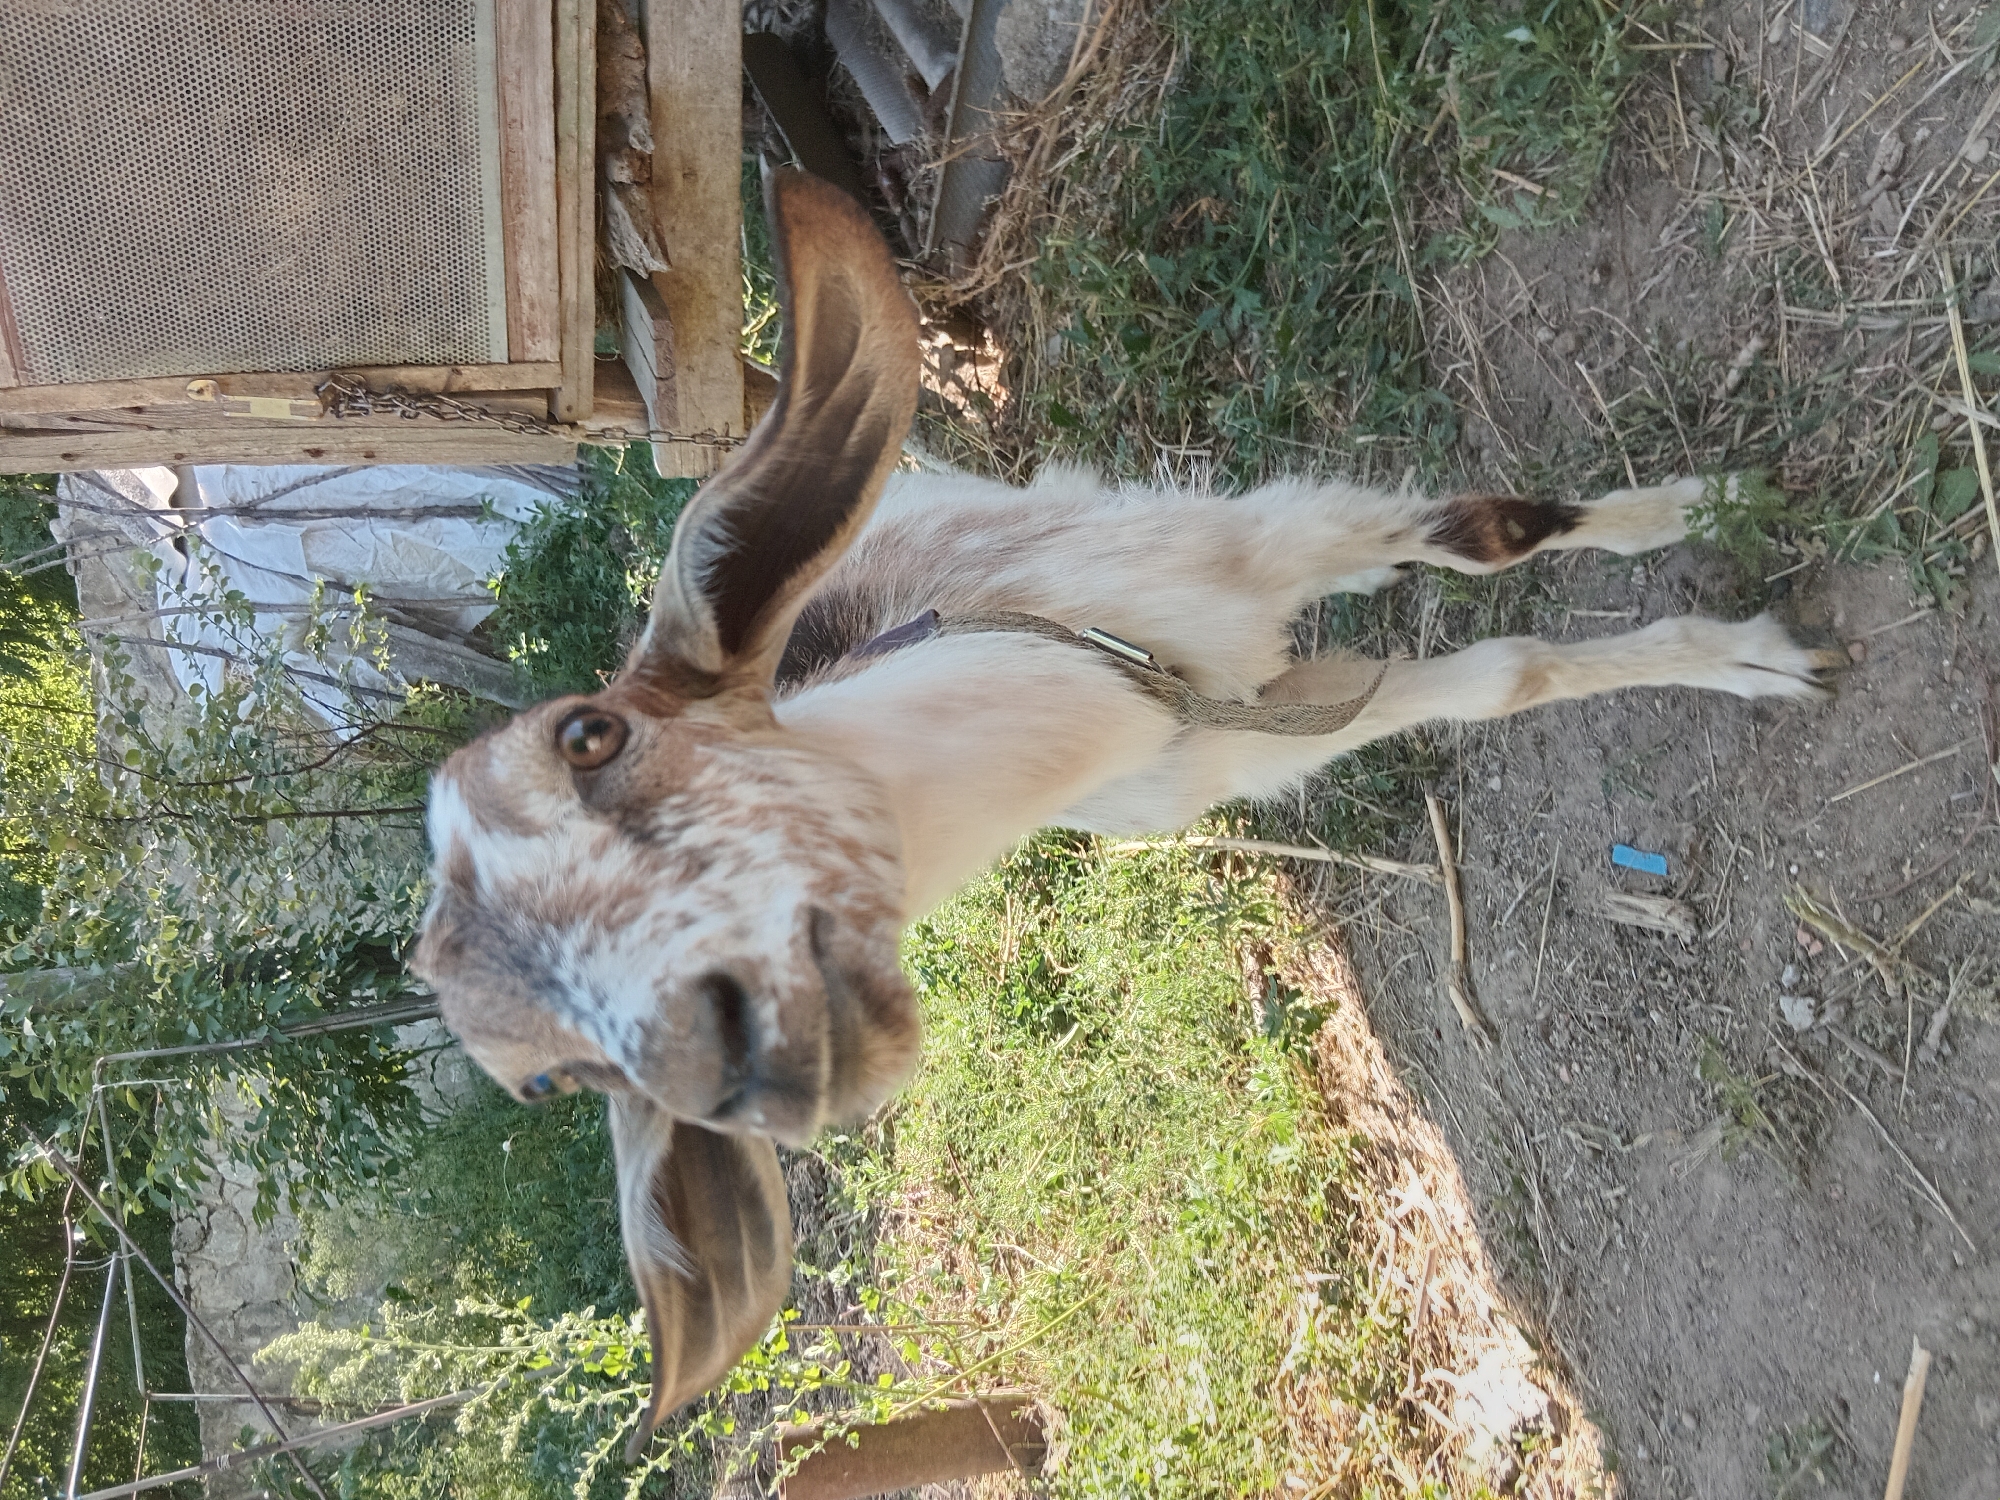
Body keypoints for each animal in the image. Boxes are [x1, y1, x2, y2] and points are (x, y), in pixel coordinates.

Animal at [413, 169, 1840, 1447]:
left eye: (590, 734)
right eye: (547, 1081)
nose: (753, 1055)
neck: (1101, 695)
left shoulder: (1265, 546)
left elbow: (1489, 542)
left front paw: (1722, 565)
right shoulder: (1247, 737)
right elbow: (1495, 673)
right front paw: (1740, 644)